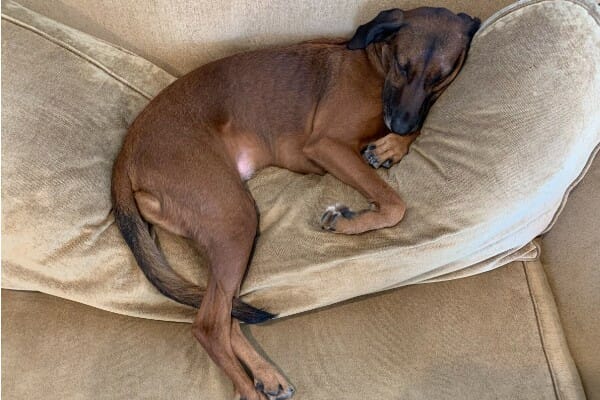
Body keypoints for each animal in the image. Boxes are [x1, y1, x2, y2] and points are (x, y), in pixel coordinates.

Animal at [111, 7, 478, 400]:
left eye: (439, 78)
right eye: (401, 65)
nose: (400, 123)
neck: (374, 64)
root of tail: (126, 152)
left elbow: (410, 146)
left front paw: (392, 146)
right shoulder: (327, 145)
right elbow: (395, 204)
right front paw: (347, 218)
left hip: (224, 234)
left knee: (227, 317)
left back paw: (266, 374)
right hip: (235, 216)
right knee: (208, 326)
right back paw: (250, 389)